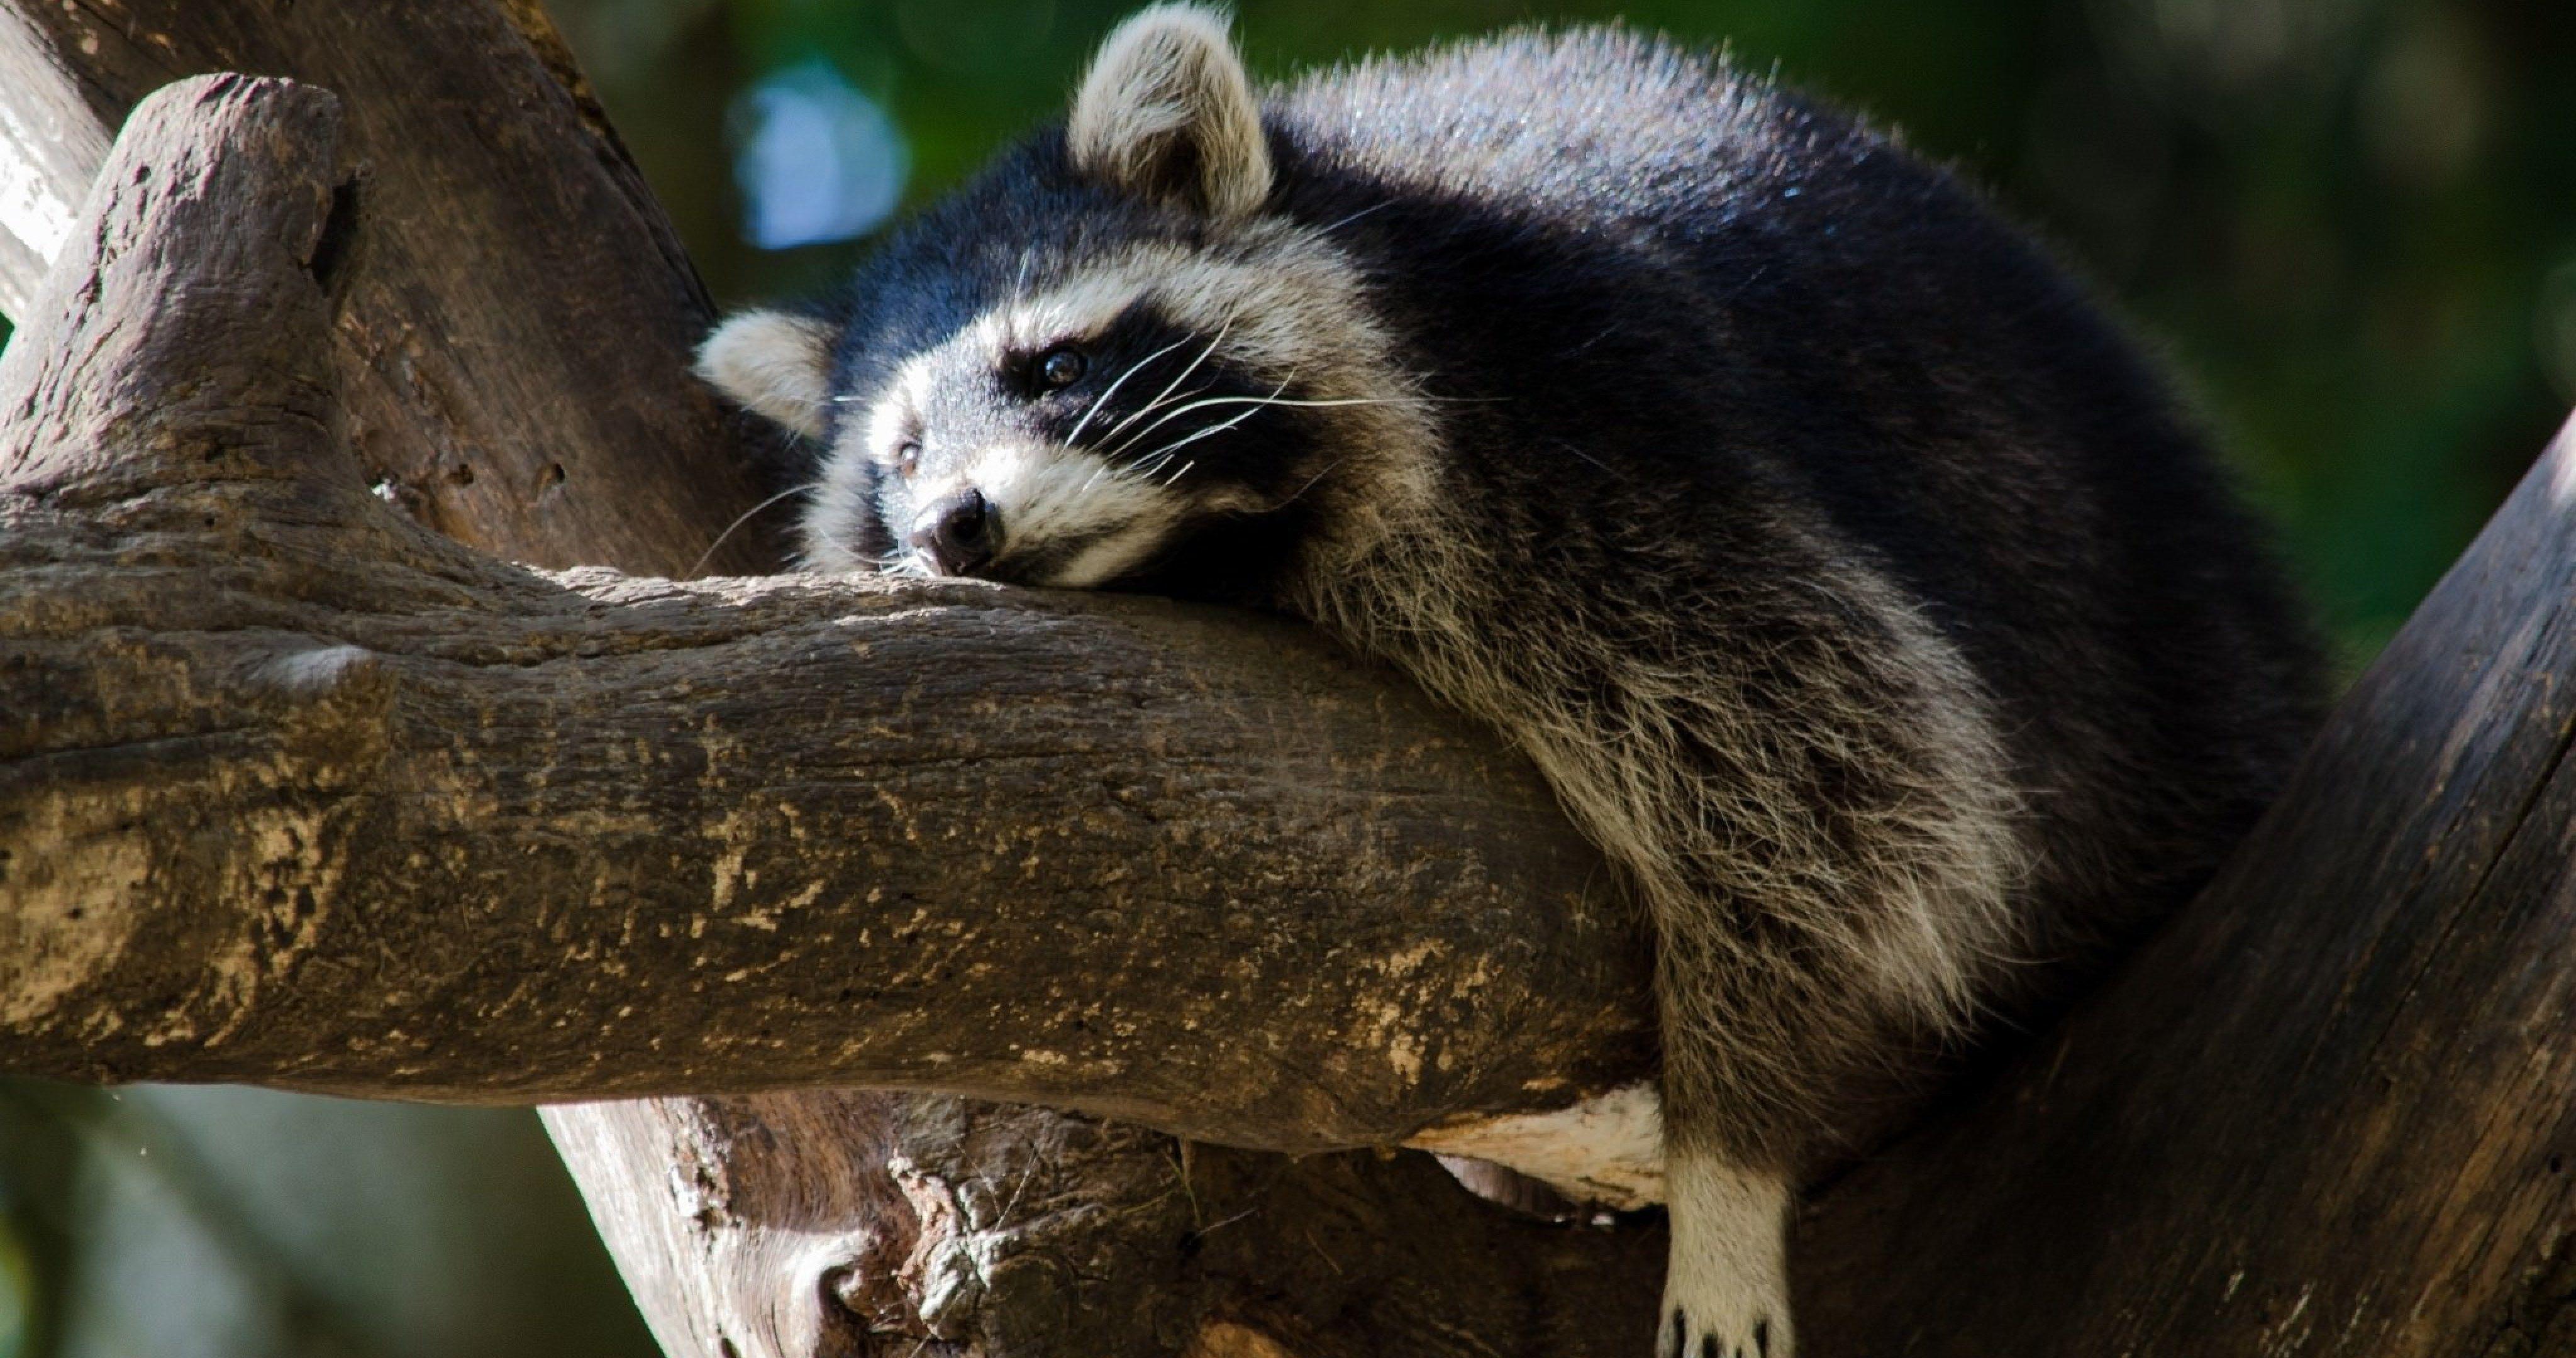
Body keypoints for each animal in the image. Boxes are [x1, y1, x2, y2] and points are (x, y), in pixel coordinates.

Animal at [696, 8, 2323, 1354]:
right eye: (900, 454)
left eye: (1051, 369)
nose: (956, 524)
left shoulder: (1599, 437)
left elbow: (1839, 780)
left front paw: (1731, 1163)